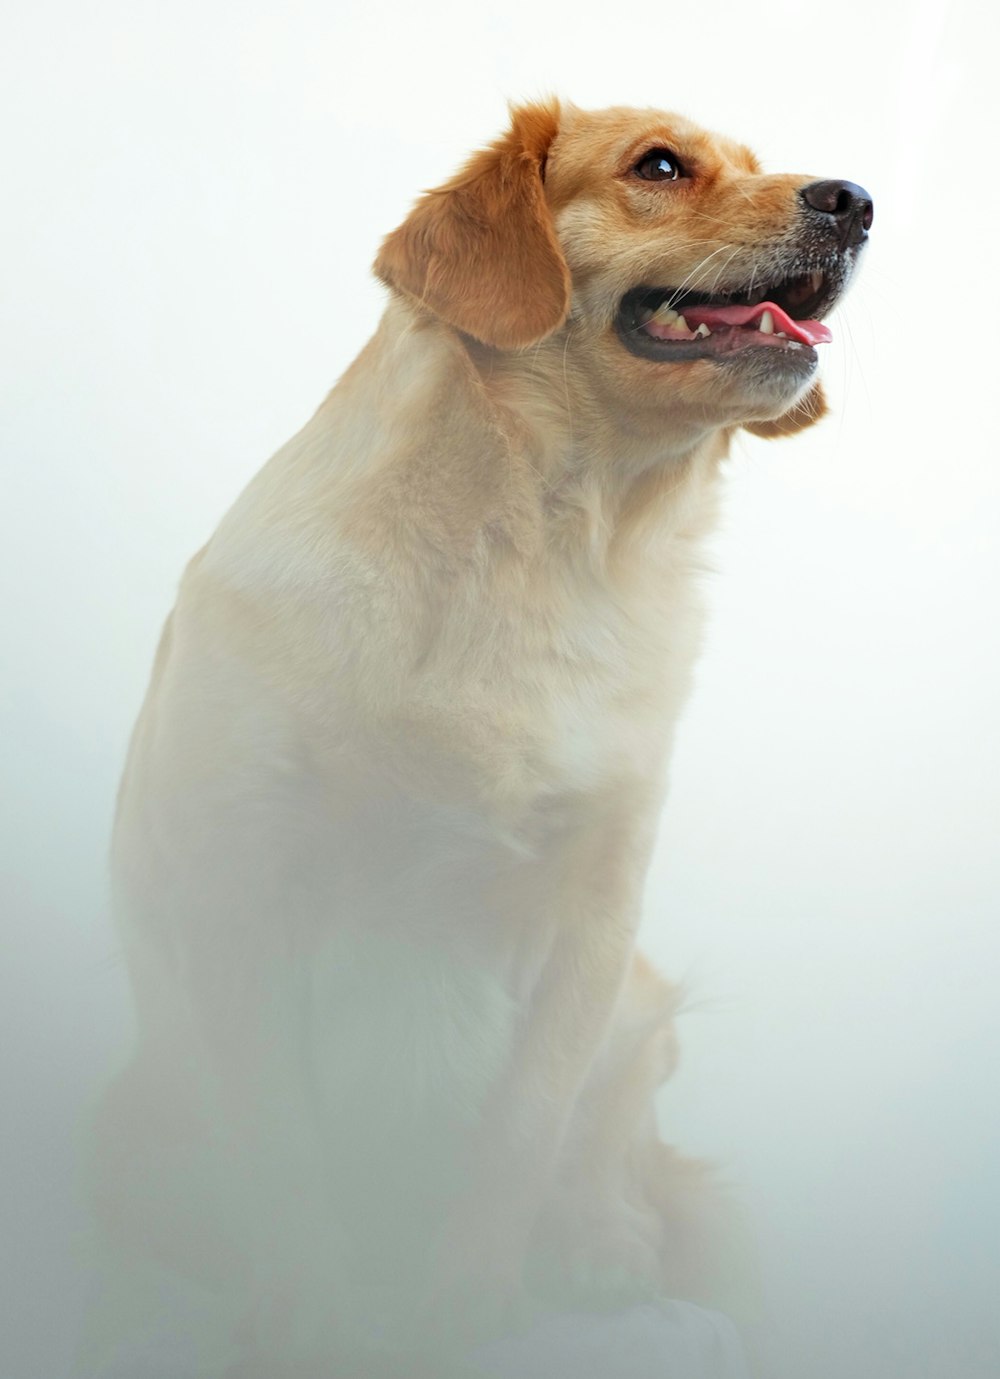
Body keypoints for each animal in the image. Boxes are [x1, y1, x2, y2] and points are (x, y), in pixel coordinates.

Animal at [87, 99, 866, 1379]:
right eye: (661, 164)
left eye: (762, 164)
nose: (853, 200)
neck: (543, 544)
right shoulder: (239, 889)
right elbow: (283, 1147)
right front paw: (313, 1310)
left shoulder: (596, 910)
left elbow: (526, 1130)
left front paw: (471, 1302)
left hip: (639, 1003)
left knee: (613, 1145)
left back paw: (602, 1246)